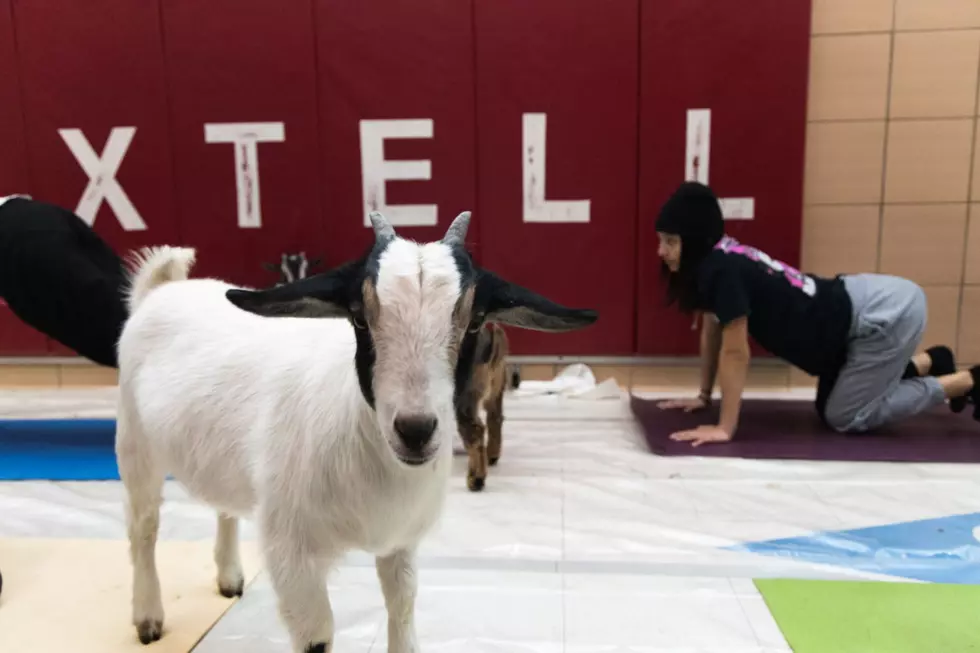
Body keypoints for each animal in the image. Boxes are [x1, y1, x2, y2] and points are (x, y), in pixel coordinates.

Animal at [458, 320, 520, 488]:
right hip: (495, 392)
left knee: (475, 431)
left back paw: (476, 478)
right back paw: (491, 455)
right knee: (495, 419)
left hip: (464, 399)